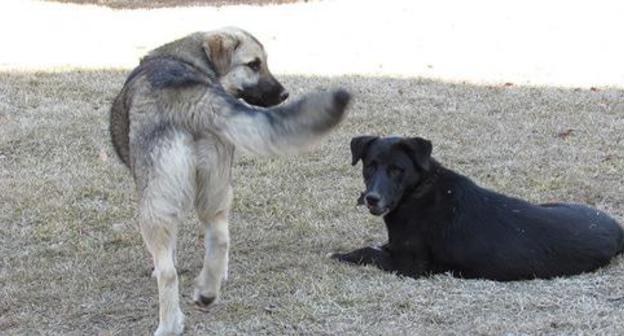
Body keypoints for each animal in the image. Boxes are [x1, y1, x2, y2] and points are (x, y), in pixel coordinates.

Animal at [109, 27, 348, 334]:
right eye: (254, 64)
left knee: (168, 272)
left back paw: (170, 324)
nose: (285, 94)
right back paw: (208, 292)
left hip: (155, 205)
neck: (188, 59)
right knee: (221, 238)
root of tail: (191, 97)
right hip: (216, 187)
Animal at [332, 135, 624, 280]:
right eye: (370, 165)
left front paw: (342, 255)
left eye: (397, 169)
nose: (372, 198)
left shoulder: (409, 267)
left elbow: (367, 252)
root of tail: (618, 230)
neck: (418, 191)